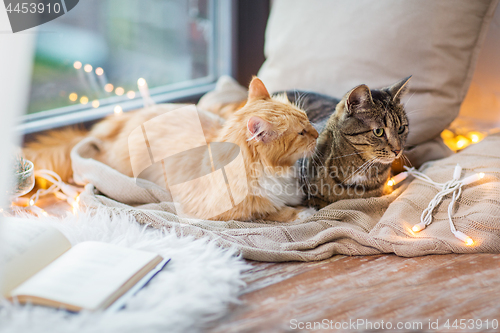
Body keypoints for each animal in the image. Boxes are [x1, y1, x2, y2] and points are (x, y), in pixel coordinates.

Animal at [23, 78, 316, 220]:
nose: (316, 133)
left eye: (308, 120)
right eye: (301, 133)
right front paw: (303, 214)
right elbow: (272, 210)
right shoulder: (218, 210)